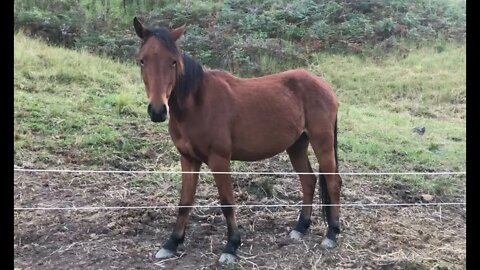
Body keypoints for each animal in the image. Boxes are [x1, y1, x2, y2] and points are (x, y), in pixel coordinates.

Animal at [132, 17, 342, 264]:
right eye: (142, 60)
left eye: (173, 62)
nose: (157, 111)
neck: (196, 103)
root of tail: (326, 87)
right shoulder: (188, 159)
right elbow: (185, 202)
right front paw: (171, 243)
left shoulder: (219, 160)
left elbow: (227, 202)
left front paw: (231, 246)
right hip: (297, 145)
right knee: (308, 181)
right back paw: (300, 228)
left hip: (322, 142)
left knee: (333, 183)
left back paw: (331, 234)